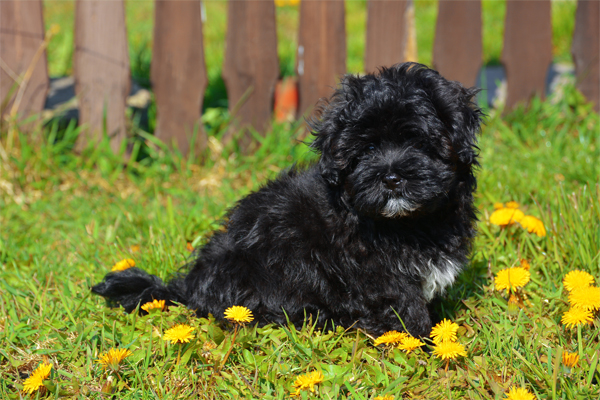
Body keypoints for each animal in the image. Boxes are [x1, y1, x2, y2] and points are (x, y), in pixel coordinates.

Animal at [91, 63, 482, 338]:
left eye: (419, 144)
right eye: (368, 150)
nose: (391, 178)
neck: (411, 222)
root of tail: (187, 287)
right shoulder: (375, 271)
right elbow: (403, 305)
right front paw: (422, 341)